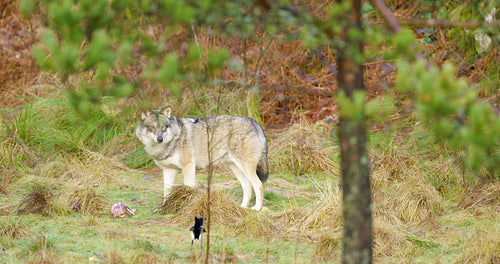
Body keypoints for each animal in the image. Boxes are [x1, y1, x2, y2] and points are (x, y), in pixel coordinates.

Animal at [136, 106, 270, 210]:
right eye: (152, 128)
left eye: (164, 127)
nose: (160, 139)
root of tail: (254, 122)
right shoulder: (169, 170)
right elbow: (166, 192)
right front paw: (164, 207)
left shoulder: (188, 166)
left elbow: (188, 188)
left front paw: (187, 205)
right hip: (235, 168)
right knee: (248, 186)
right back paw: (242, 207)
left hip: (245, 167)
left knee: (258, 184)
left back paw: (257, 208)